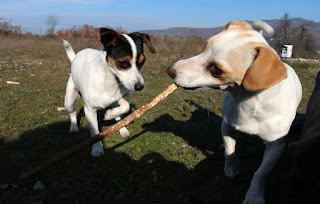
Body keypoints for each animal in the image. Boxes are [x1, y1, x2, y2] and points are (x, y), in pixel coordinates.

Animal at [62, 28, 155, 156]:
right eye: (123, 63)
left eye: (142, 62)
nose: (140, 87)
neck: (110, 81)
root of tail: (76, 56)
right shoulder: (90, 110)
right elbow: (95, 132)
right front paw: (97, 149)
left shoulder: (123, 95)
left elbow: (125, 107)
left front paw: (109, 115)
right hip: (69, 100)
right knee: (73, 112)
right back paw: (74, 127)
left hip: (113, 102)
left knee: (119, 115)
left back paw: (121, 128)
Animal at [168, 21, 302, 204]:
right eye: (204, 48)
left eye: (216, 69)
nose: (170, 70)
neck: (246, 102)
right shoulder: (227, 126)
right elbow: (229, 151)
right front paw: (231, 167)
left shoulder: (276, 146)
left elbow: (261, 173)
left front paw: (254, 195)